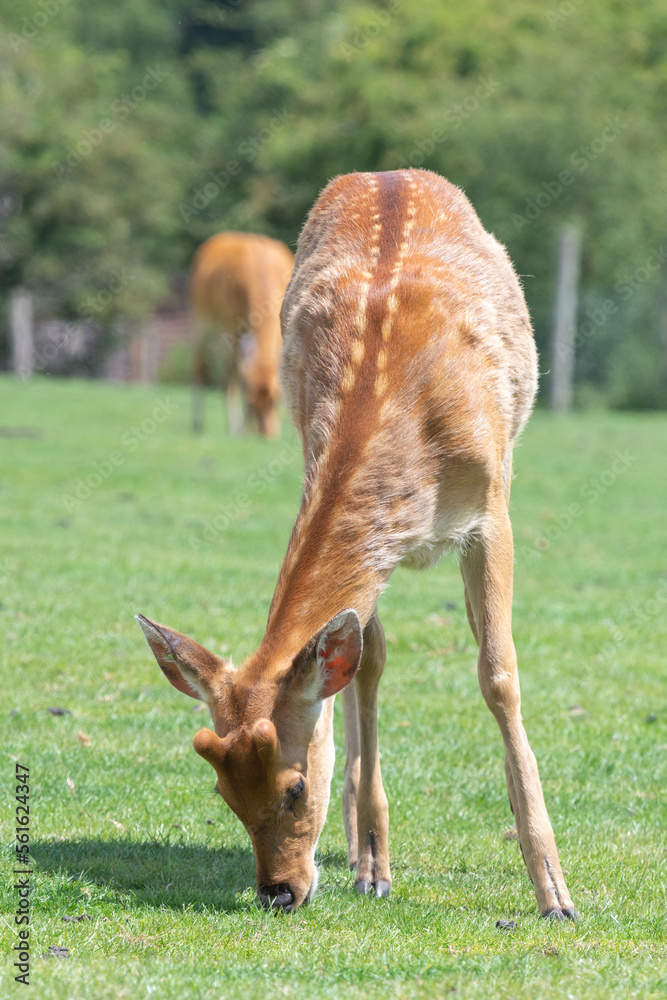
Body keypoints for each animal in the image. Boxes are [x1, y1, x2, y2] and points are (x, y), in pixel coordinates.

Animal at [189, 231, 294, 437]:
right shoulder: (230, 326)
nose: (266, 434)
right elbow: (231, 376)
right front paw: (236, 427)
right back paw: (197, 424)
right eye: (251, 403)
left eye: (275, 401)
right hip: (201, 315)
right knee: (201, 364)